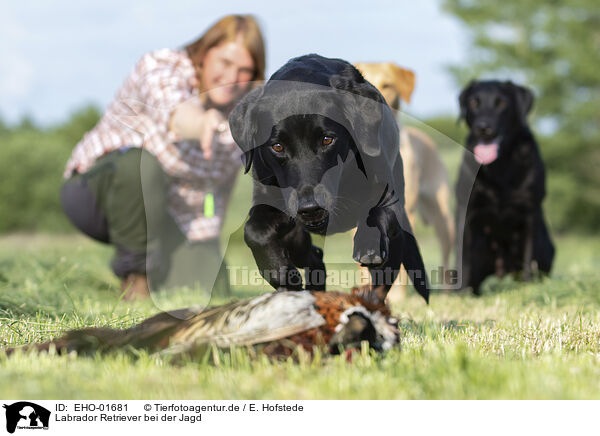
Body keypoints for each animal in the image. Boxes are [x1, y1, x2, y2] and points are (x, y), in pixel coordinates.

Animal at [227, 52, 428, 302]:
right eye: (277, 146)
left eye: (327, 140)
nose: (310, 208)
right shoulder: (270, 199)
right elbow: (254, 232)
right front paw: (281, 274)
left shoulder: (384, 190)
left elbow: (375, 210)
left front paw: (368, 246)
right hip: (297, 238)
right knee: (314, 255)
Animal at [458, 80, 556, 294]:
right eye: (473, 103)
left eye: (501, 103)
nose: (483, 127)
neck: (499, 166)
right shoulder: (468, 212)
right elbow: (464, 261)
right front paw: (460, 294)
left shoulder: (530, 212)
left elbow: (529, 257)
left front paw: (529, 289)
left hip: (547, 248)